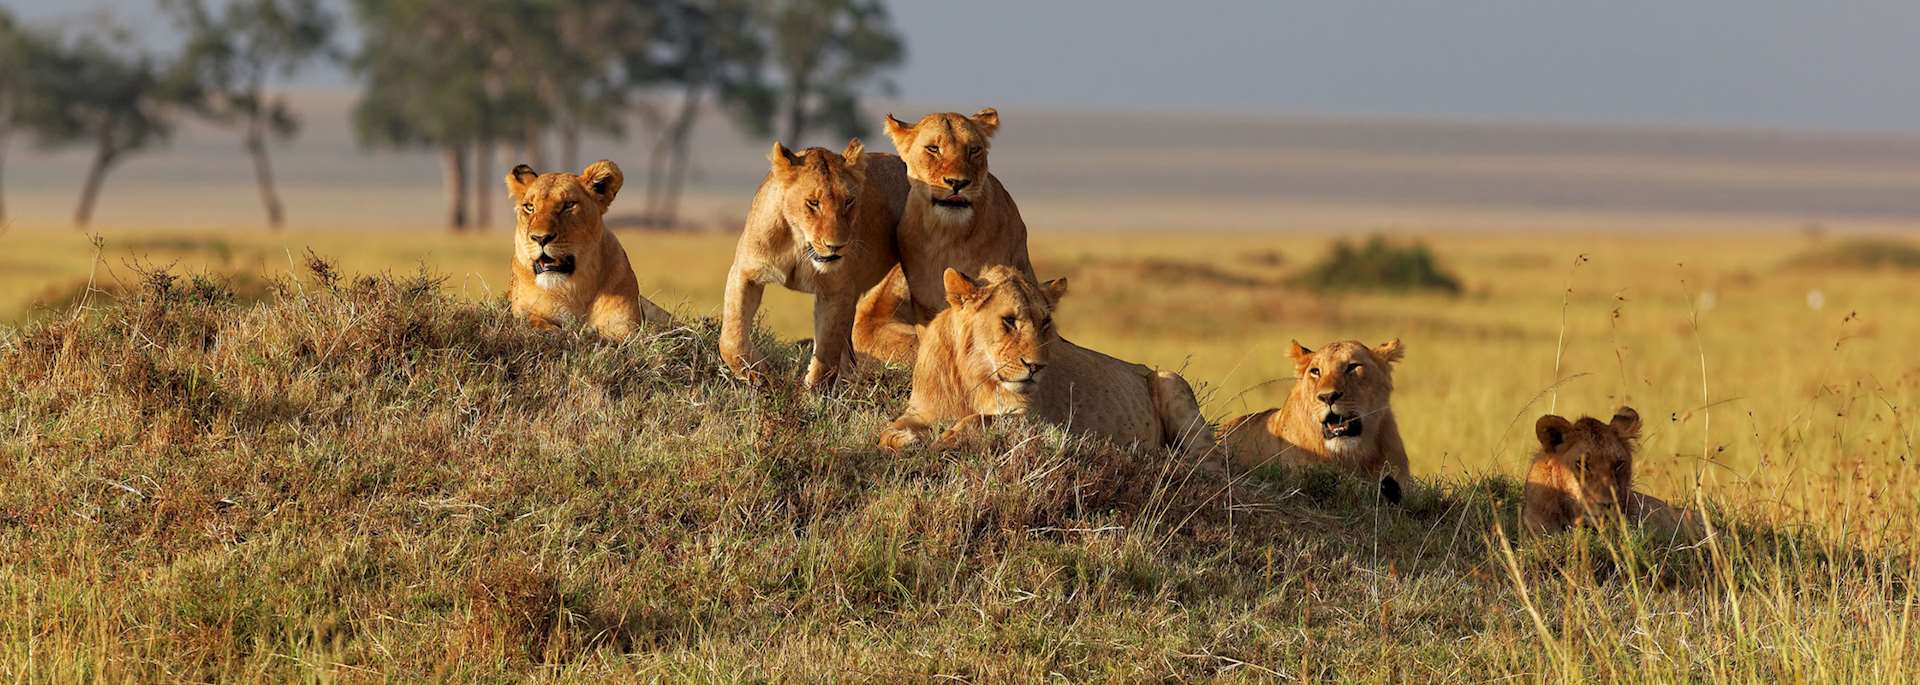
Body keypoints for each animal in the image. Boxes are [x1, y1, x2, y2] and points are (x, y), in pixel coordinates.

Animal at [505, 160, 671, 338]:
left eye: (569, 205)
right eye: (529, 207)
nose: (540, 238)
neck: (575, 290)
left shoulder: (625, 326)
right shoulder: (523, 310)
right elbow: (534, 320)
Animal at [720, 139, 911, 390]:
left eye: (849, 201)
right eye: (813, 203)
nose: (836, 246)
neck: (799, 244)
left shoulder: (837, 291)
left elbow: (827, 351)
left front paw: (814, 392)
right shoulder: (745, 272)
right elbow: (731, 338)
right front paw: (758, 375)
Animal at [878, 266, 1213, 455]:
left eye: (1045, 323)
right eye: (1009, 321)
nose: (1036, 367)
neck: (973, 377)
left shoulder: (1033, 419)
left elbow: (980, 420)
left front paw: (946, 439)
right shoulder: (920, 411)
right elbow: (888, 432)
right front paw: (908, 440)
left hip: (1171, 381)